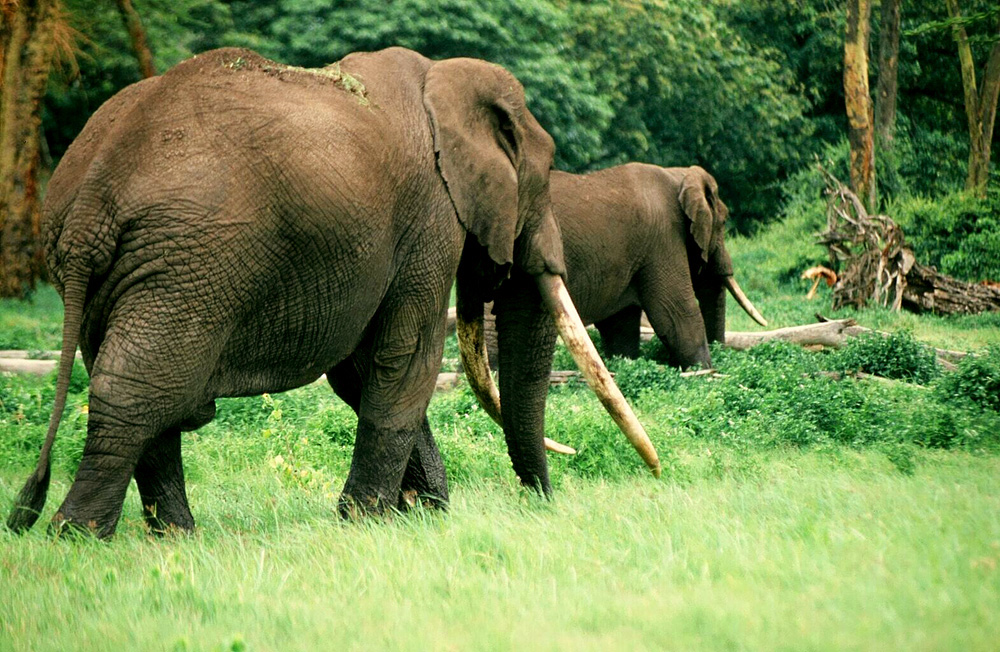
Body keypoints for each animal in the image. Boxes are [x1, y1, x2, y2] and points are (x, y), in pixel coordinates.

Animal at [11, 48, 664, 540]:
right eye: (544, 175)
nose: (541, 503)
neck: (444, 78)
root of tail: (91, 193)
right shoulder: (429, 215)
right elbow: (405, 359)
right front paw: (371, 522)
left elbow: (361, 369)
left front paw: (422, 516)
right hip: (186, 264)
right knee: (140, 388)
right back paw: (78, 537)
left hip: (128, 270)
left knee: (142, 389)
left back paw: (176, 539)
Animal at [460, 163, 764, 448]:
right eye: (723, 222)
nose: (719, 360)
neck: (678, 174)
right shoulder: (663, 239)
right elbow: (676, 314)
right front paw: (703, 373)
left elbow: (621, 327)